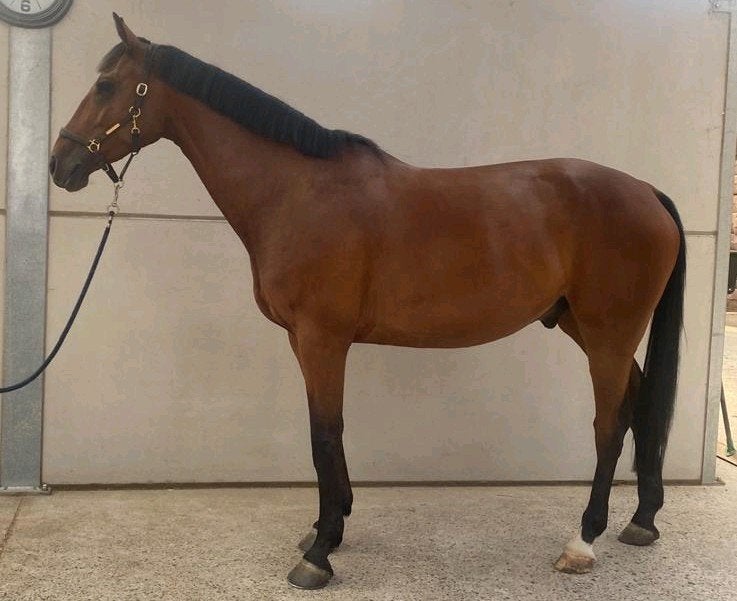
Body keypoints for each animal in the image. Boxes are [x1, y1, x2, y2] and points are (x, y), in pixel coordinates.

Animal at [49, 14, 685, 590]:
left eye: (105, 86)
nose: (61, 165)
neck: (296, 192)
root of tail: (647, 191)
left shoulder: (322, 338)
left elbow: (325, 433)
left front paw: (321, 551)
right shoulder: (302, 340)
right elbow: (324, 433)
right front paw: (324, 527)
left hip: (608, 331)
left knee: (609, 424)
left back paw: (583, 541)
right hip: (587, 327)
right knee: (638, 405)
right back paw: (642, 521)